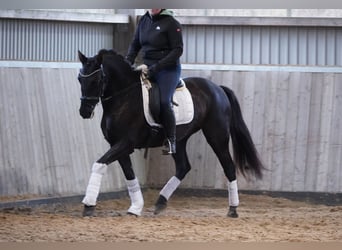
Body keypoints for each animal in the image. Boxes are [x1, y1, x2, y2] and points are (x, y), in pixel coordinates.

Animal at [78, 48, 264, 217]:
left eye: (97, 80)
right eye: (80, 79)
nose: (84, 111)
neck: (124, 97)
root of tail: (217, 88)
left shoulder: (126, 143)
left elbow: (99, 164)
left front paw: (88, 205)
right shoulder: (117, 144)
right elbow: (128, 174)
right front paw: (136, 207)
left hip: (217, 136)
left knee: (229, 167)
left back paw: (233, 209)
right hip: (179, 140)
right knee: (183, 167)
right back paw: (160, 202)